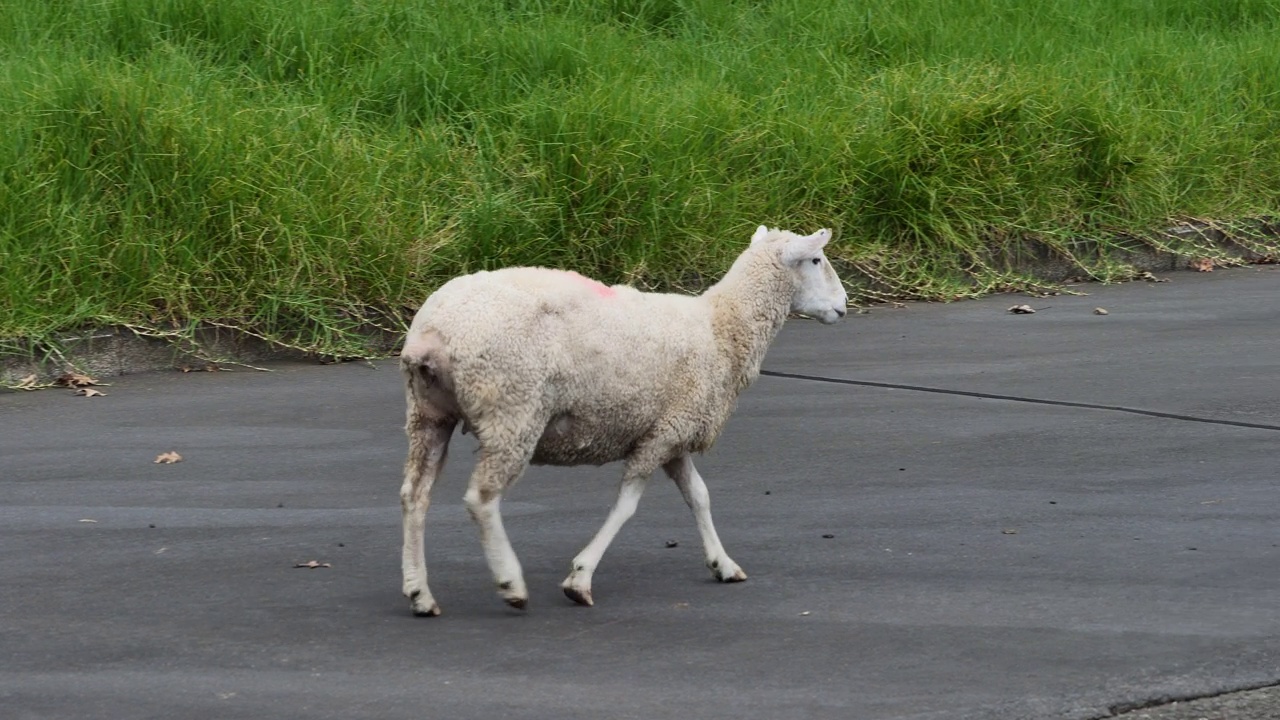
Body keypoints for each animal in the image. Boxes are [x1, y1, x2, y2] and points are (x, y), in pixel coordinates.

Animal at [394, 222, 844, 609]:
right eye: (817, 260)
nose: (843, 305)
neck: (721, 329)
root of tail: (430, 335)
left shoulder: (672, 428)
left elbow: (699, 496)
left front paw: (723, 564)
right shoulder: (662, 436)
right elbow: (627, 506)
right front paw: (579, 578)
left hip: (429, 415)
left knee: (415, 495)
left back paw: (419, 592)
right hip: (512, 411)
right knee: (481, 498)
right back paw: (510, 584)